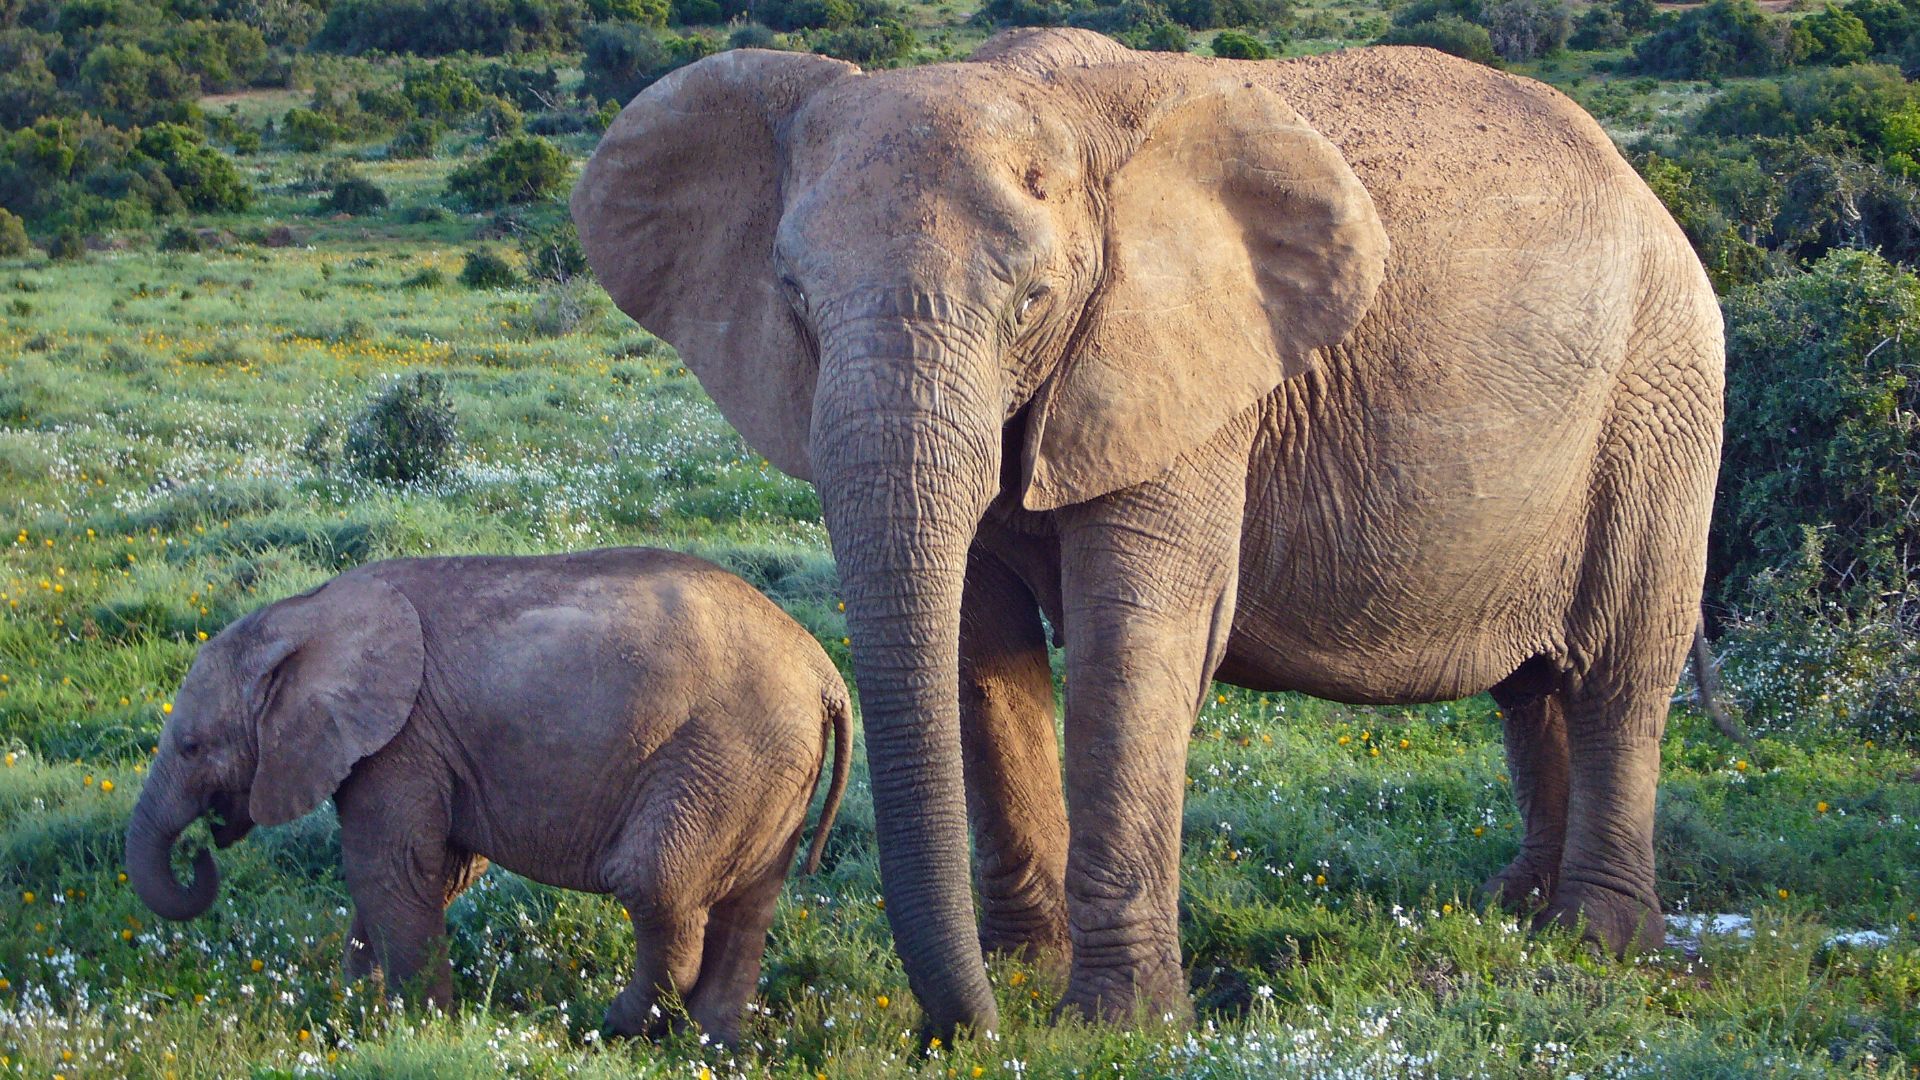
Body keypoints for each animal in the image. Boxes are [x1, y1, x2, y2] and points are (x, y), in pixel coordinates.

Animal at [125, 548, 851, 1043]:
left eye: (190, 747)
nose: (202, 850)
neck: (303, 613)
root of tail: (824, 673)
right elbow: (435, 872)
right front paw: (358, 1006)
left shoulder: (401, 740)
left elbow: (389, 867)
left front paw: (413, 1026)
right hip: (768, 768)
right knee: (748, 907)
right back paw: (707, 1049)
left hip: (724, 754)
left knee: (655, 885)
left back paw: (610, 1027)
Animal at [570, 29, 1723, 1036]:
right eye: (794, 299)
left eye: (1034, 301)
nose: (959, 1034)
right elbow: (978, 647)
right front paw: (1027, 977)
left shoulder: (1187, 369)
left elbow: (1137, 639)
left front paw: (1114, 1024)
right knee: (1533, 687)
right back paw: (1516, 910)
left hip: (1663, 395)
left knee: (1622, 667)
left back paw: (1599, 939)